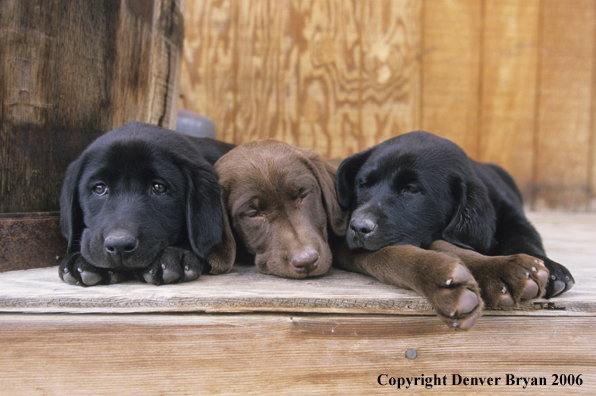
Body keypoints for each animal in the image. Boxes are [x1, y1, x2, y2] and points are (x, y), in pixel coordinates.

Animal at [336, 130, 572, 300]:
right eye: (364, 184)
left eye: (411, 189)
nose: (359, 227)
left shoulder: (513, 215)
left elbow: (525, 237)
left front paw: (551, 270)